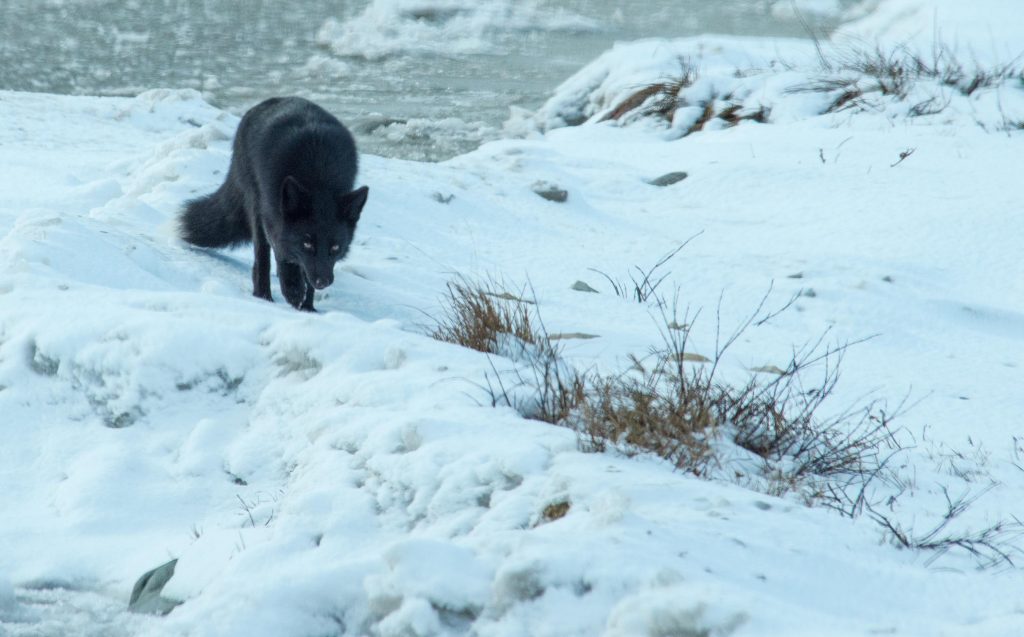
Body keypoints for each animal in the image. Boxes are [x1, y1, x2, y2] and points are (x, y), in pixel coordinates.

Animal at [179, 97, 369, 311]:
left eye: (336, 248)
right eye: (307, 243)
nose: (323, 282)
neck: (319, 178)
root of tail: (271, 101)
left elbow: (303, 270)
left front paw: (308, 307)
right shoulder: (271, 217)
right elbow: (281, 254)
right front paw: (293, 289)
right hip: (256, 204)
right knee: (262, 257)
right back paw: (263, 295)